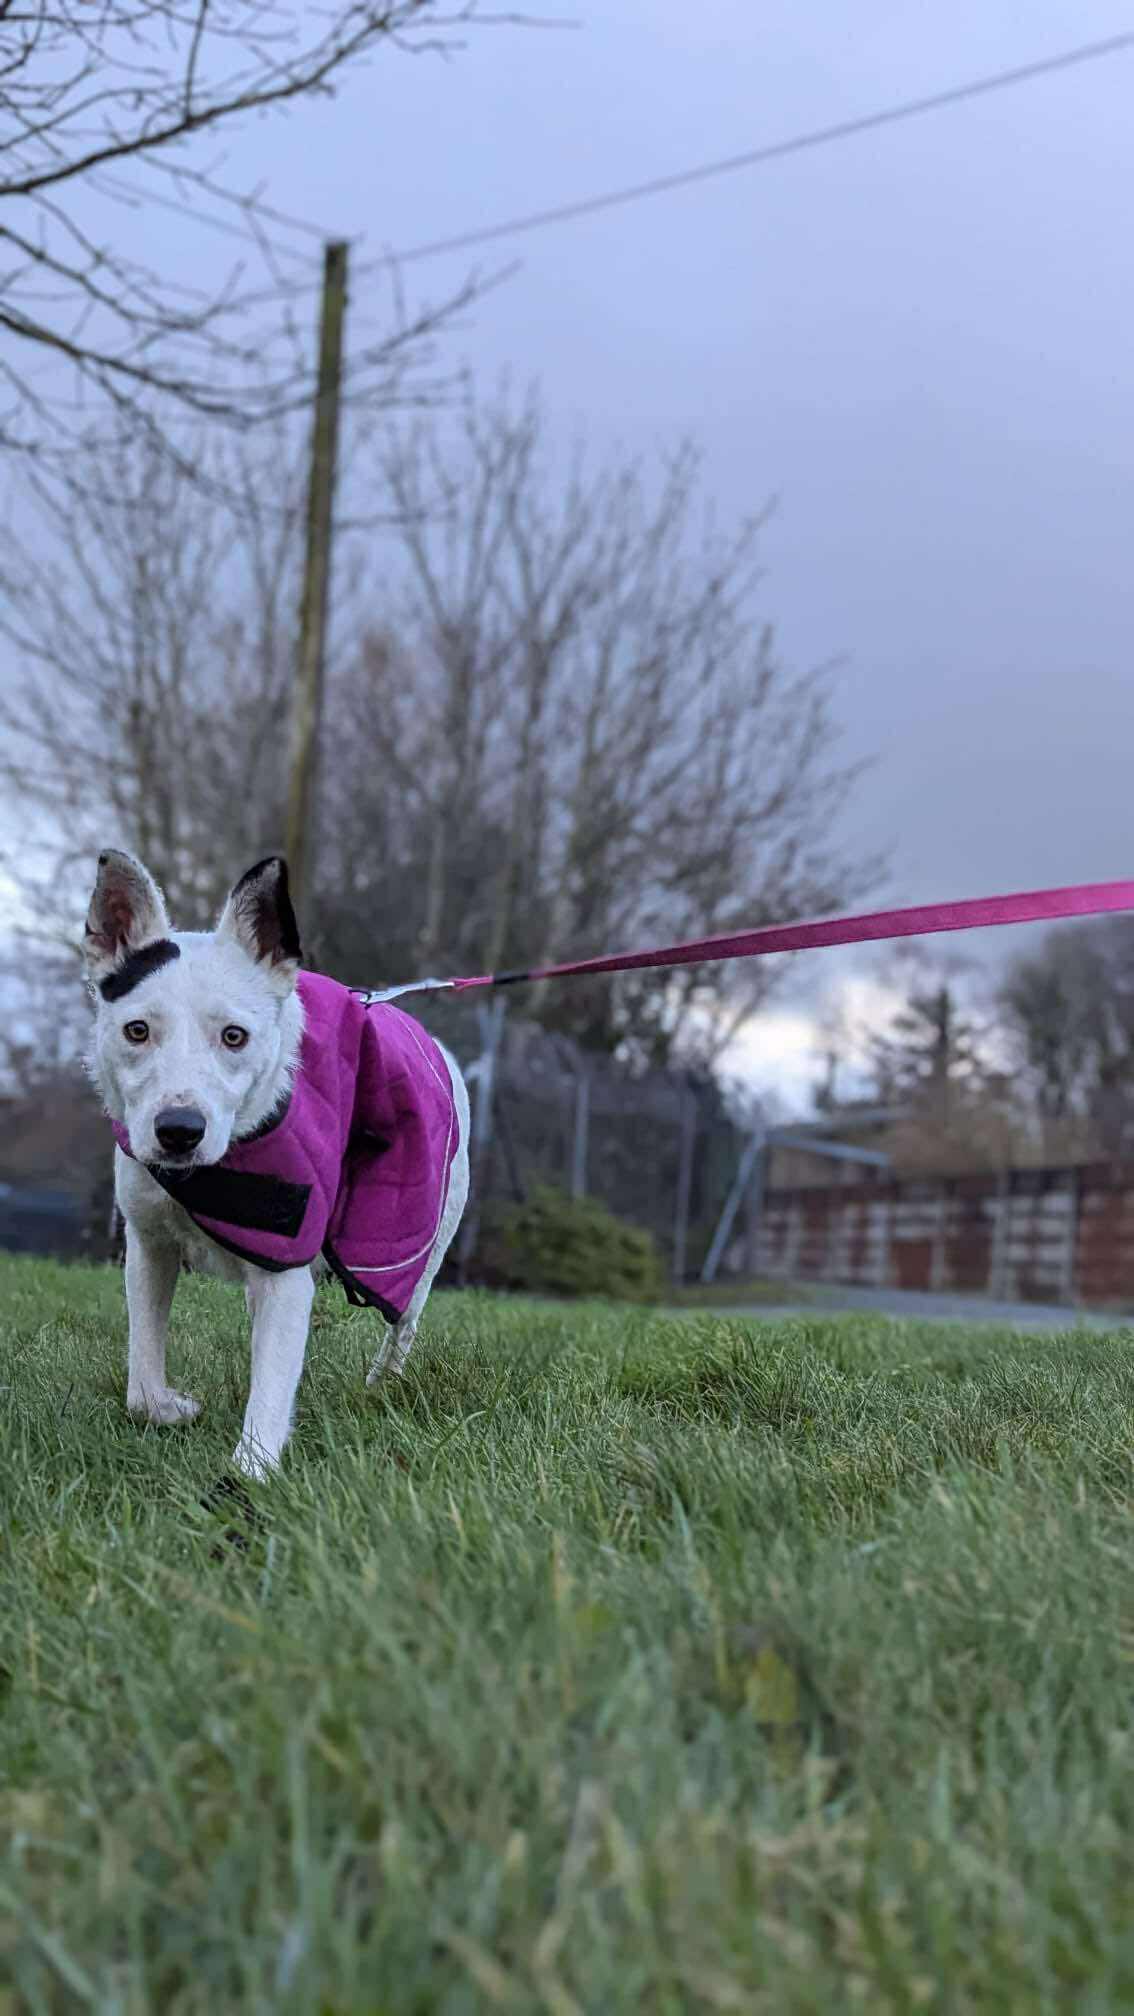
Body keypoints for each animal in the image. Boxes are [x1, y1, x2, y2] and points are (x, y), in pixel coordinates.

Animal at [84, 850, 470, 1480]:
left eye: (234, 1036)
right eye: (136, 1030)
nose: (179, 1131)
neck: (216, 1170)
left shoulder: (286, 1273)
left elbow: (268, 1396)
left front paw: (248, 1476)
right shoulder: (149, 1247)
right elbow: (142, 1383)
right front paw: (171, 1407)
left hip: (421, 1248)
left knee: (404, 1321)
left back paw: (381, 1384)